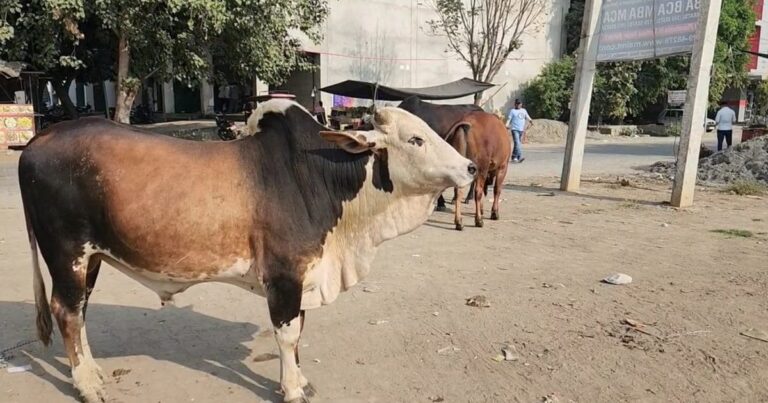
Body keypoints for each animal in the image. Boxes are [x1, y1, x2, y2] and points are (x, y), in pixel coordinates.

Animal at [18, 99, 476, 403]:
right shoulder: (284, 276)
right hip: (68, 253)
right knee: (67, 312)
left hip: (91, 258)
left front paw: (300, 381)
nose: (470, 168)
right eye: (416, 139)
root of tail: (41, 137)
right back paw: (87, 385)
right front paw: (292, 389)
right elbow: (288, 335)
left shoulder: (303, 275)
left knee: (79, 311)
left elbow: (299, 331)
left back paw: (92, 372)